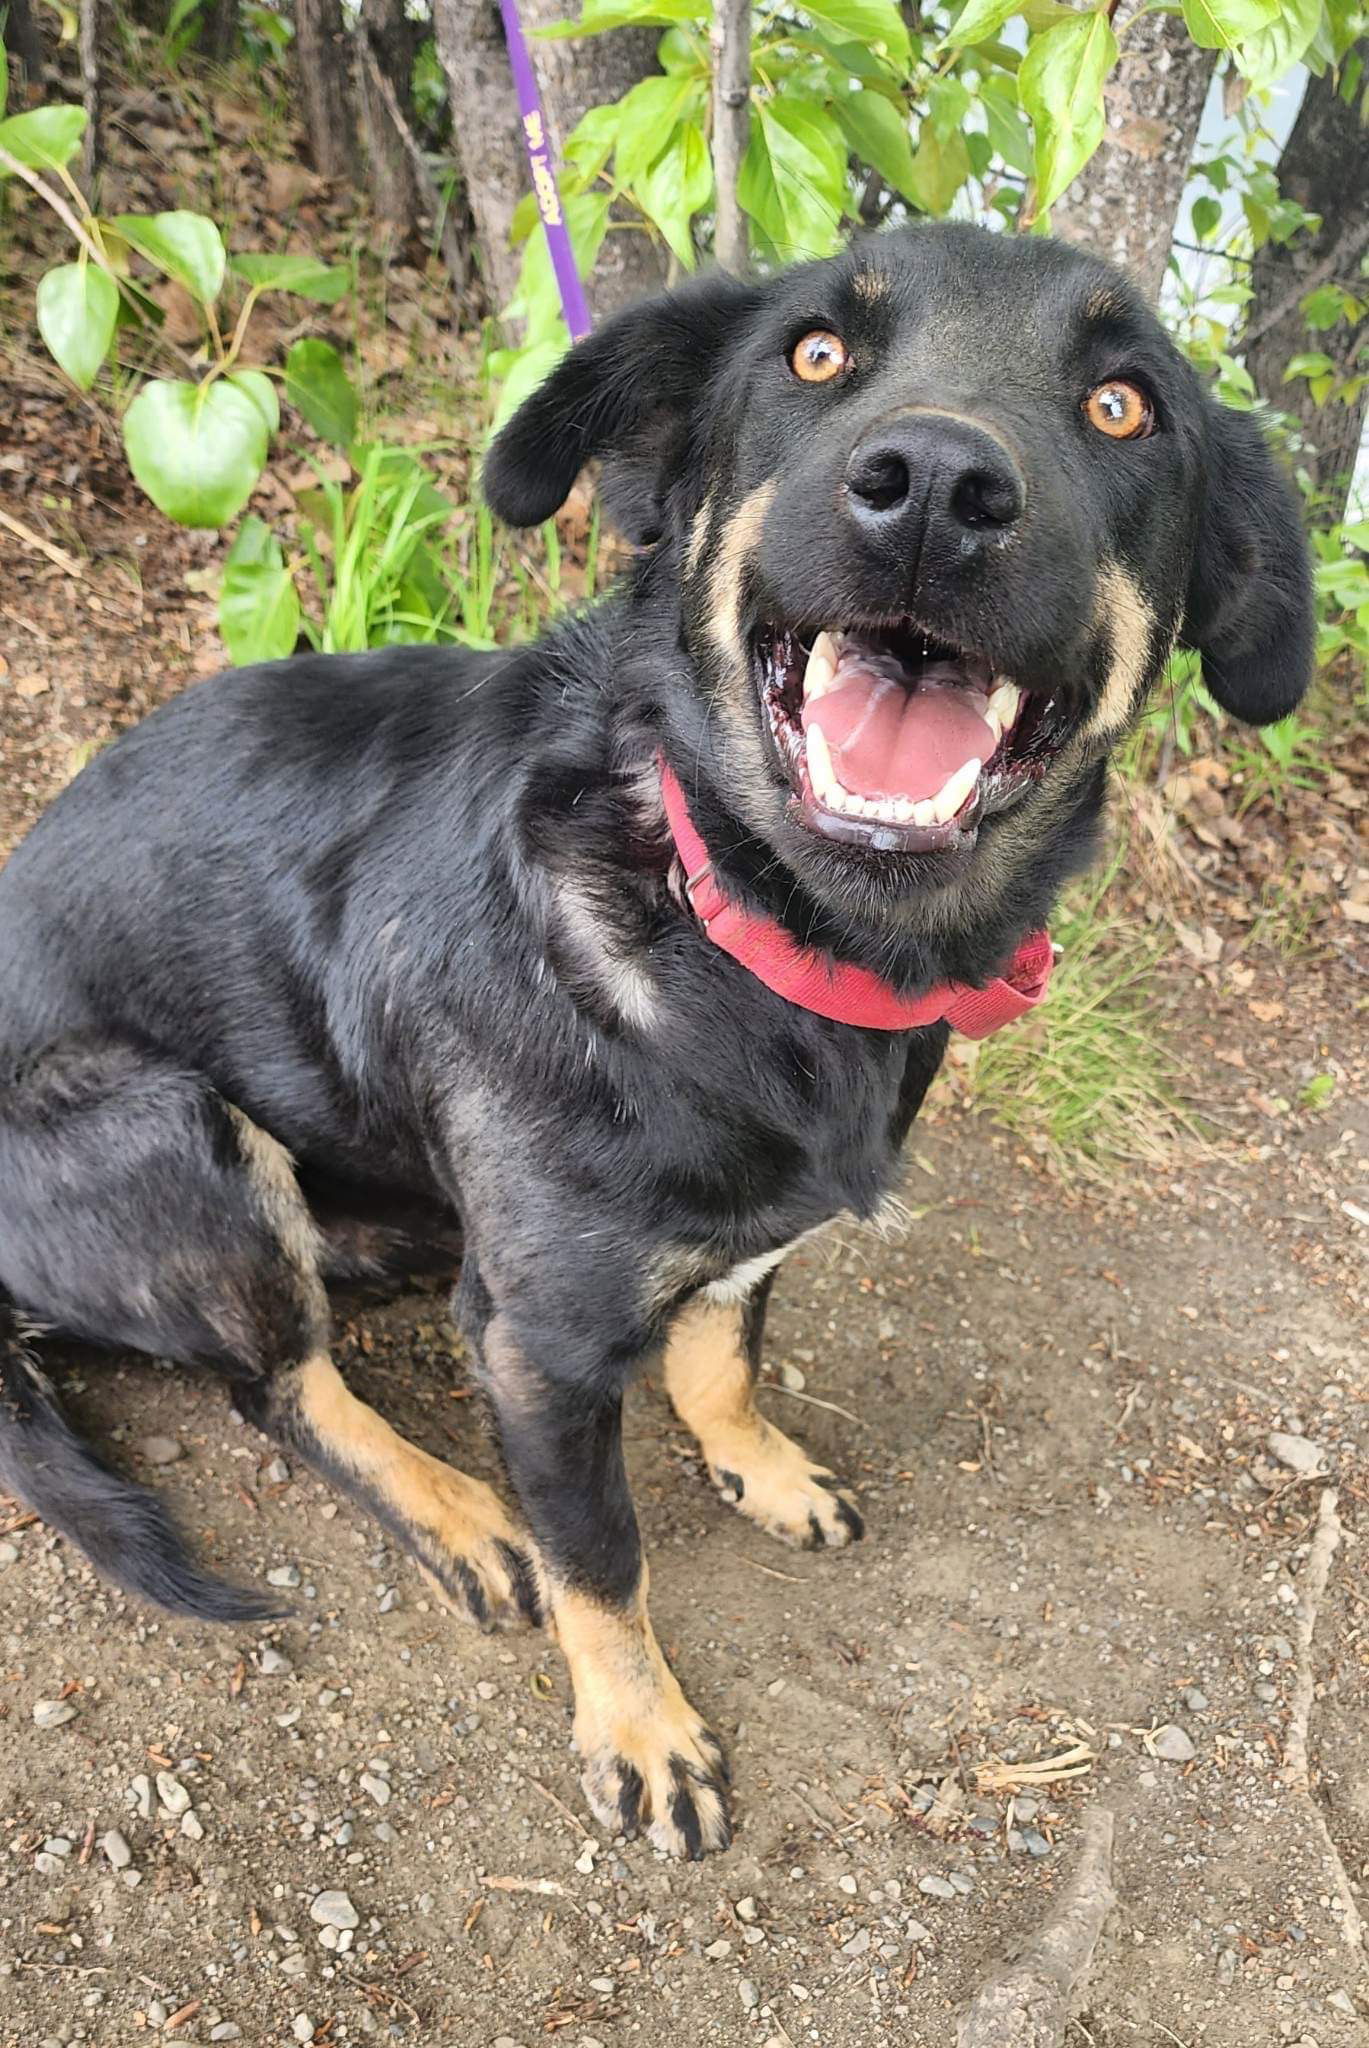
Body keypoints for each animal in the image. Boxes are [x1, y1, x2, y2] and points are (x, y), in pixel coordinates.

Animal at [2, 224, 1311, 1859]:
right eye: (814, 353)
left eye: (1126, 405)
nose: (937, 484)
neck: (753, 933)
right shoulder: (545, 1352)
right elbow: (604, 1557)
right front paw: (640, 1727)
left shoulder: (747, 1240)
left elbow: (722, 1348)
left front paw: (757, 1463)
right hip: (172, 1130)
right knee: (282, 1389)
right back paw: (456, 1508)